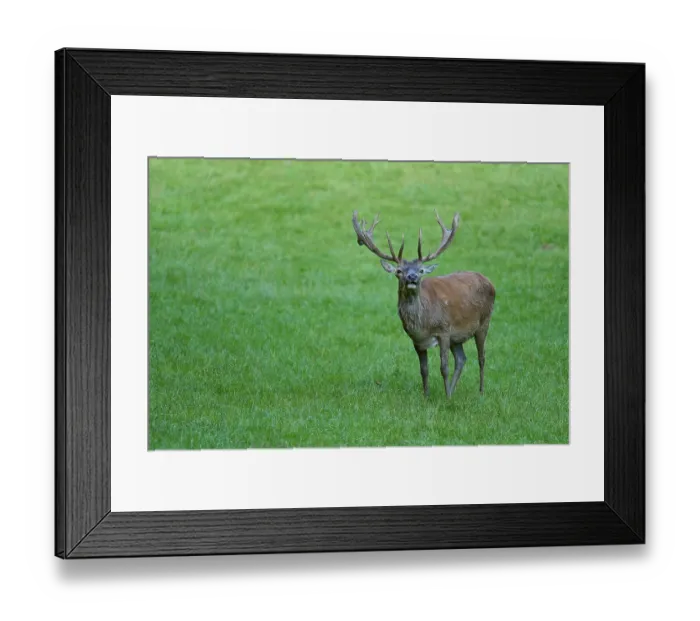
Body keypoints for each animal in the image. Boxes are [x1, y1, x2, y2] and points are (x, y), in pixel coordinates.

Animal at [352, 210, 496, 399]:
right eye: (399, 271)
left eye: (420, 270)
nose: (412, 277)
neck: (423, 323)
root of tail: (488, 281)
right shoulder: (417, 340)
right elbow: (424, 370)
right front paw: (427, 396)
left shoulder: (444, 330)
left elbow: (443, 367)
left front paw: (446, 398)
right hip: (457, 336)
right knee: (461, 359)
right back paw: (453, 390)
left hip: (484, 321)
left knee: (482, 357)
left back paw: (480, 391)